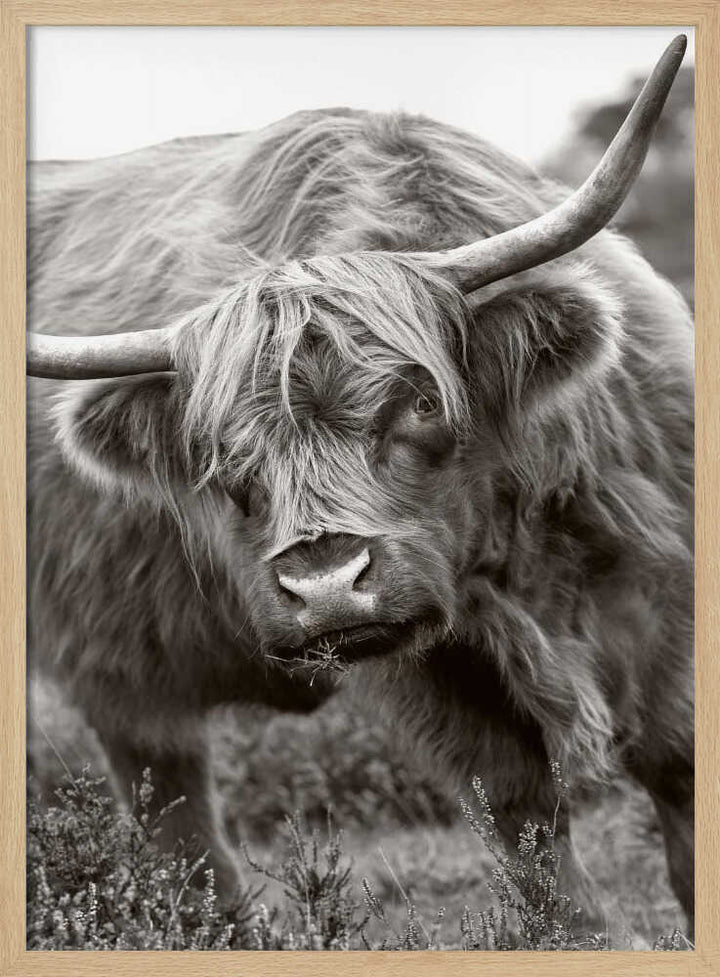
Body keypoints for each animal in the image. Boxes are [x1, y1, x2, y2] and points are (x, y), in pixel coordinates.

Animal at [27, 36, 693, 937]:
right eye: (220, 451)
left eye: (420, 401)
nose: (326, 585)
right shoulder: (441, 676)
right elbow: (526, 823)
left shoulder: (665, 589)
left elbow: (678, 770)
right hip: (116, 665)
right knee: (175, 813)